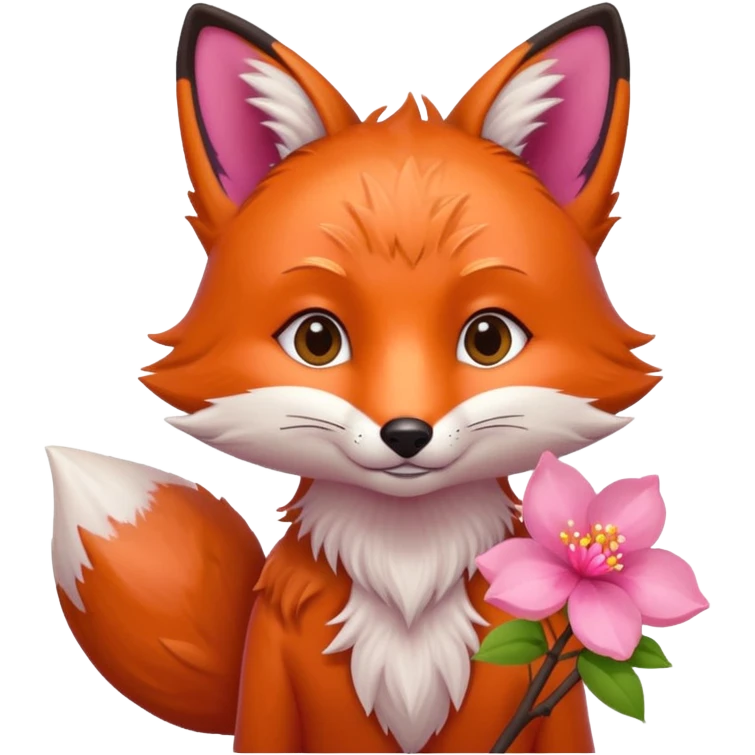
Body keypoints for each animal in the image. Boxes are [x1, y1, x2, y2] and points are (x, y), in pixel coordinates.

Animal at [46, 2, 658, 753]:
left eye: (487, 339)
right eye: (317, 339)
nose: (407, 433)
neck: (406, 575)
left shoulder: (544, 677)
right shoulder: (271, 677)